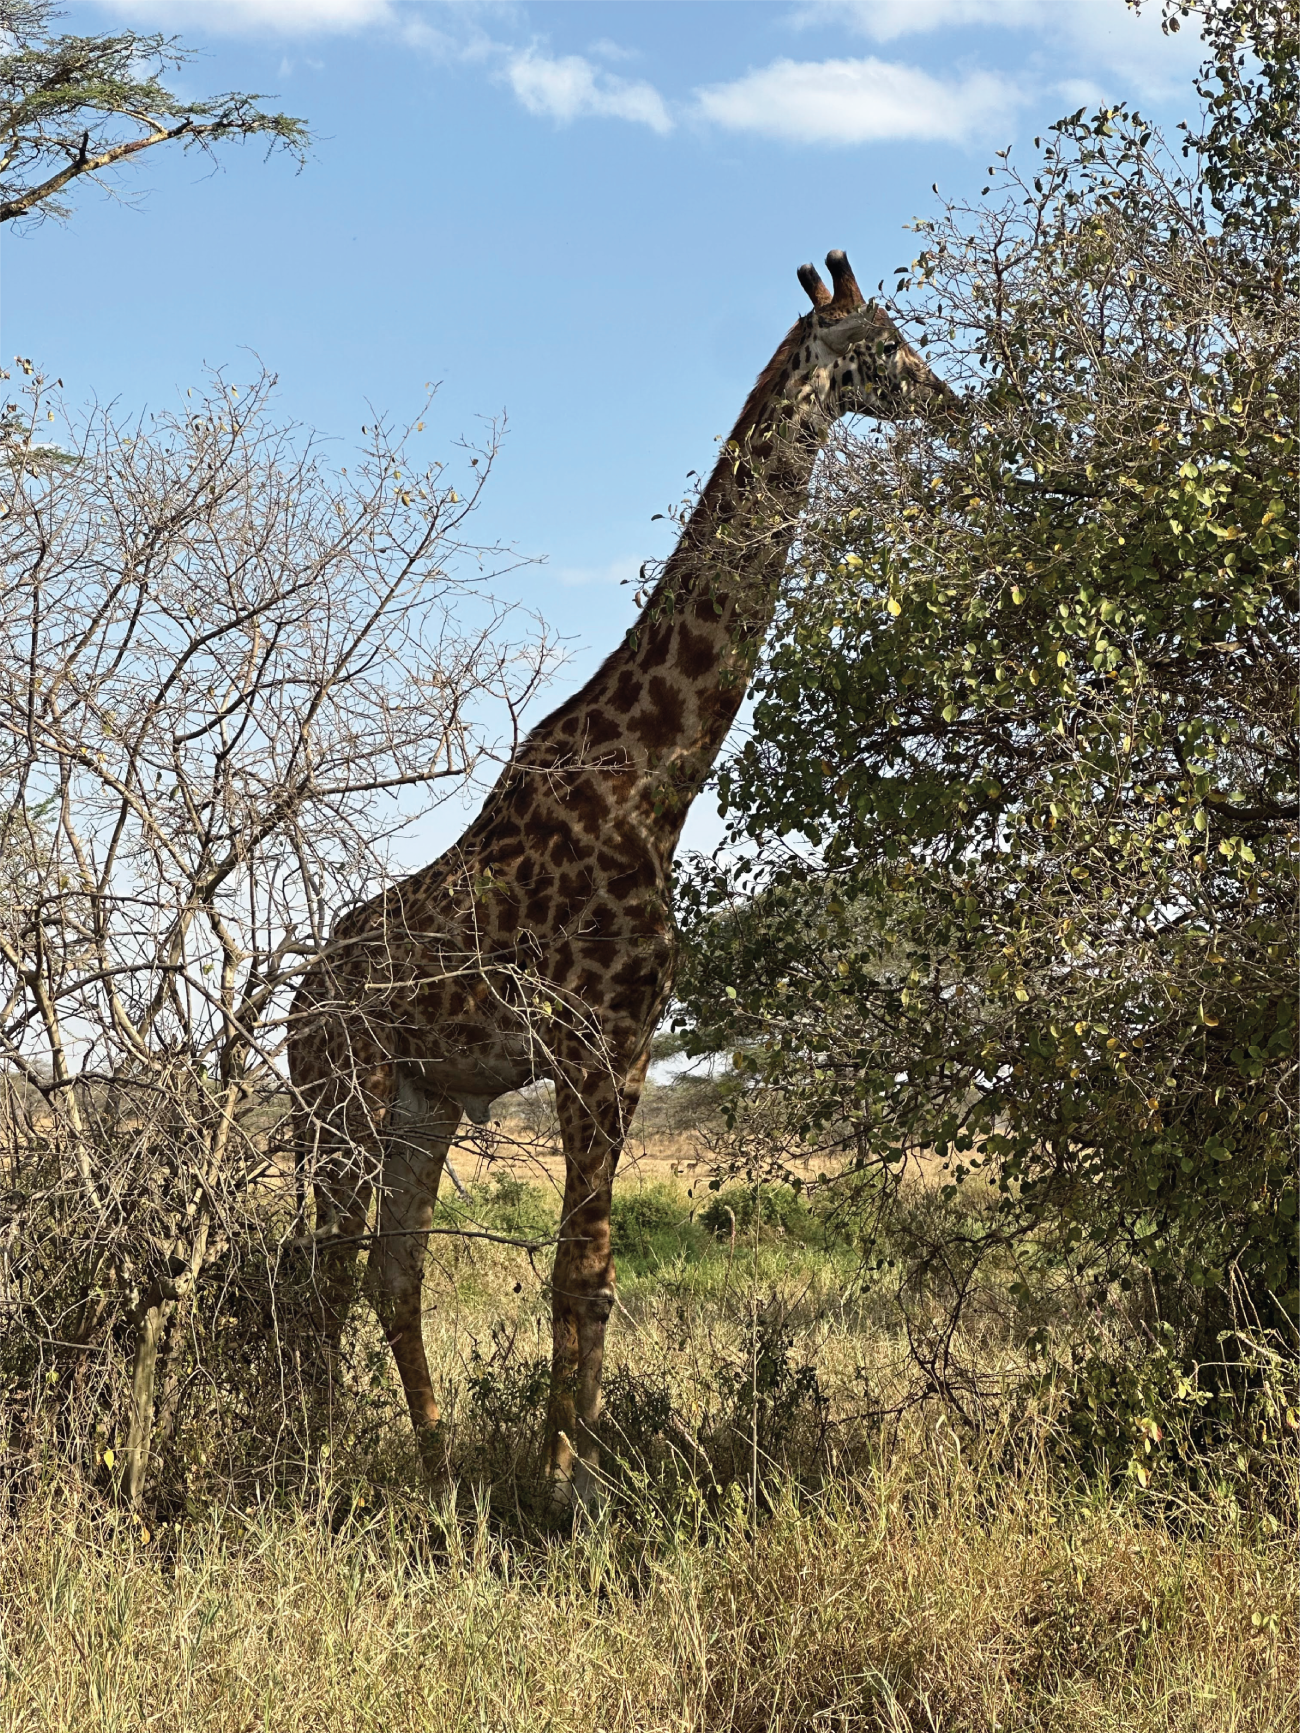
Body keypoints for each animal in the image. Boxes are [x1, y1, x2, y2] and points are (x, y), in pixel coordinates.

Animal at [292, 247, 956, 1504]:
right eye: (889, 344)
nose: (954, 402)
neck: (655, 779)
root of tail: (294, 1003)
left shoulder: (632, 1047)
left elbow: (590, 1274)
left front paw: (569, 1468)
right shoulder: (594, 1042)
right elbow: (578, 1268)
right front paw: (562, 1485)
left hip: (421, 1100)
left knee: (391, 1271)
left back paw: (433, 1464)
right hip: (338, 1089)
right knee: (324, 1265)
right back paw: (309, 1466)